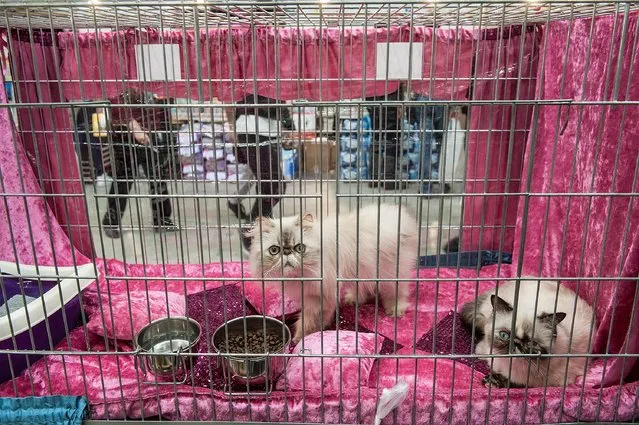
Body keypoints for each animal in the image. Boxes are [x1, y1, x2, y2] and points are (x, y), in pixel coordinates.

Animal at [245, 203, 420, 342]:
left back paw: (396, 309)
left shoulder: (320, 297)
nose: (287, 252)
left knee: (398, 292)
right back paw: (353, 299)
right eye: (274, 250)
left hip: (391, 274)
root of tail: (403, 219)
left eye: (300, 248)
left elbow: (308, 321)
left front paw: (300, 338)